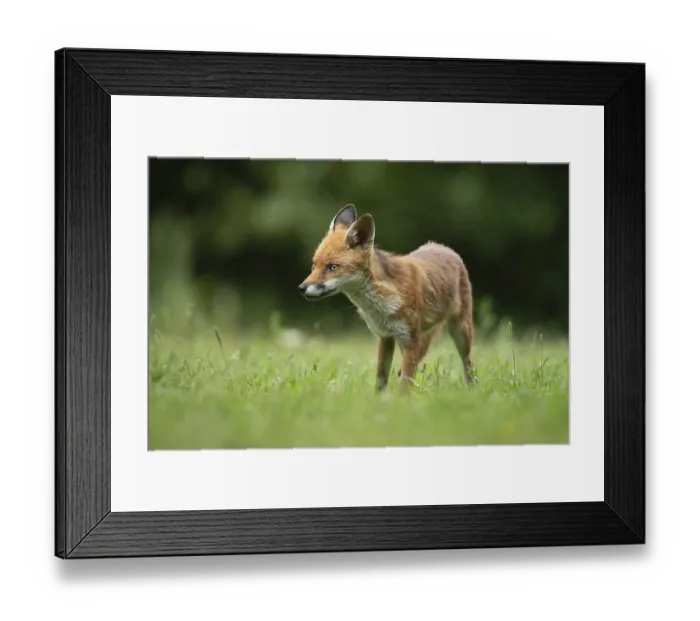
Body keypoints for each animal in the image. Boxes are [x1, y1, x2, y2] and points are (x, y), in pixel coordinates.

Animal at [298, 204, 476, 391]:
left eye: (333, 267)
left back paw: (472, 389)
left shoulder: (411, 339)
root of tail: (442, 246)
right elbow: (381, 380)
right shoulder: (385, 337)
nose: (301, 288)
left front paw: (400, 398)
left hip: (461, 332)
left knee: (468, 364)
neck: (381, 304)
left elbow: (404, 384)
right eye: (314, 265)